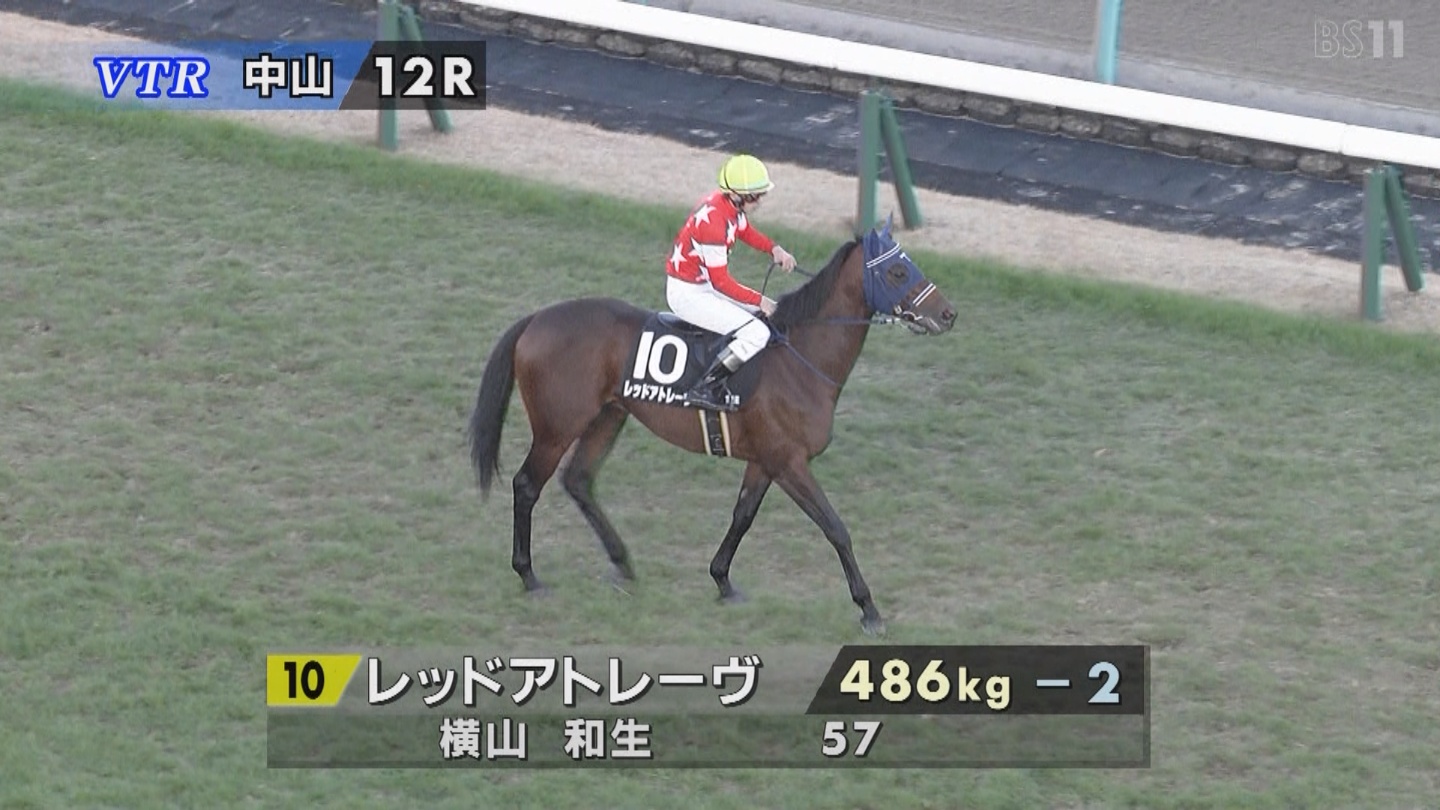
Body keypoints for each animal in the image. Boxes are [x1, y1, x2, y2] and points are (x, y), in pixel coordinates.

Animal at [466, 219, 956, 635]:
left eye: (910, 263)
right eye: (896, 270)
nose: (948, 314)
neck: (798, 360)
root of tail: (536, 319)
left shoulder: (765, 461)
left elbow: (742, 517)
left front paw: (722, 580)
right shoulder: (789, 461)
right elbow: (835, 528)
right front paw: (868, 609)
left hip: (608, 416)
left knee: (579, 481)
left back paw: (622, 563)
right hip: (557, 427)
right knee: (527, 484)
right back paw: (529, 575)